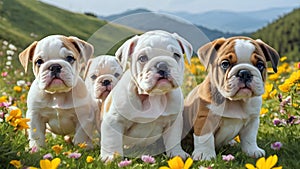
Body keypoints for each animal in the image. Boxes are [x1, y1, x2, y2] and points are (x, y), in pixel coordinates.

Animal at [101, 30, 193, 161]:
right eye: (142, 58)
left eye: (176, 55)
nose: (162, 65)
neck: (154, 95)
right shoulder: (114, 120)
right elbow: (111, 140)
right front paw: (111, 157)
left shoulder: (173, 122)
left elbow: (173, 140)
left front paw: (177, 154)